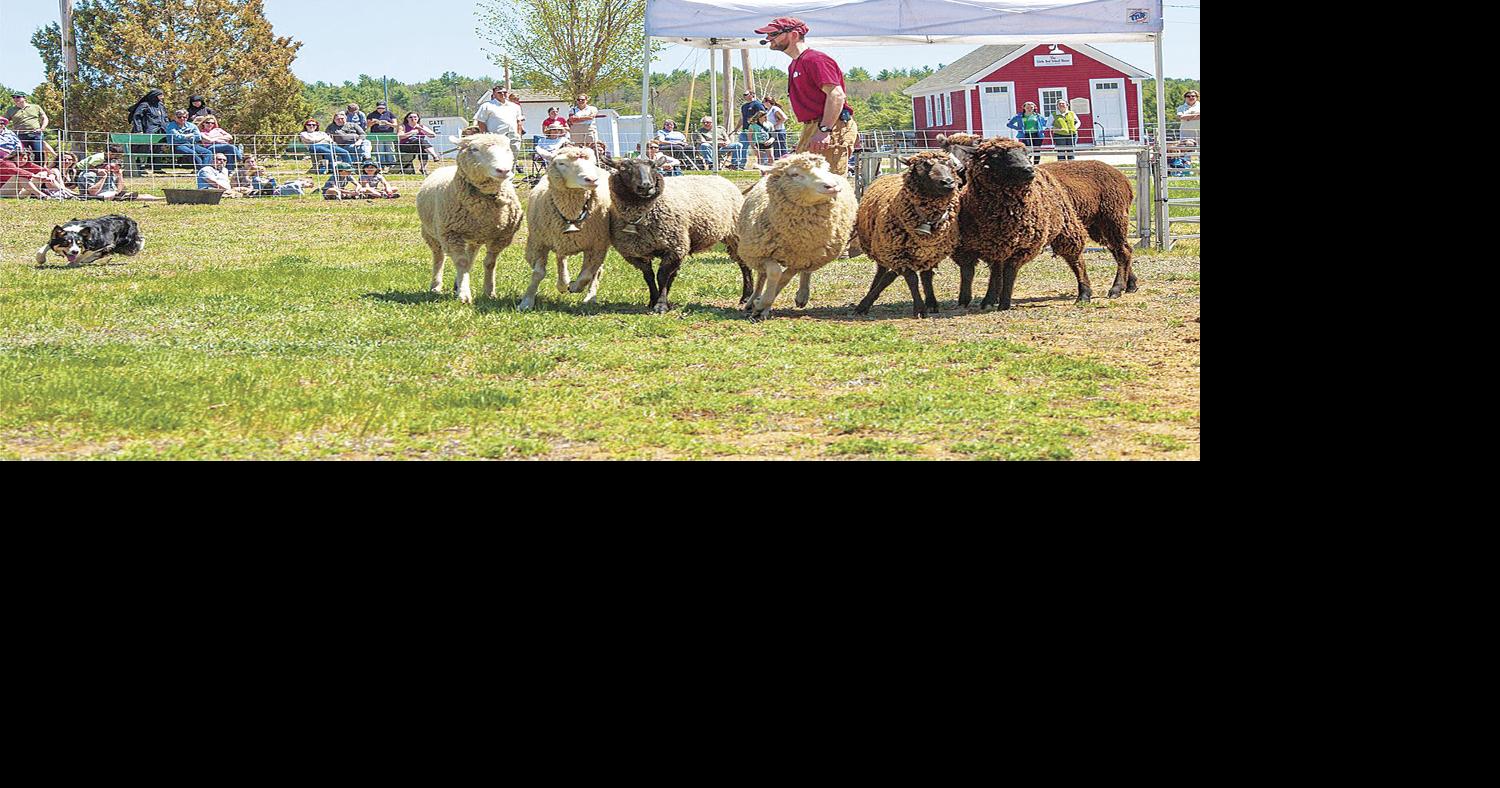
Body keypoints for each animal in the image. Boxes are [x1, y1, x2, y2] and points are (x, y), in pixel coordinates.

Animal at [414, 132, 525, 304]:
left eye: (508, 148)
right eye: (474, 149)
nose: (503, 170)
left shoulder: (501, 237)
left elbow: (489, 263)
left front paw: (489, 292)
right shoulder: (451, 234)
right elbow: (461, 262)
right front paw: (464, 295)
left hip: (474, 237)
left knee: (470, 258)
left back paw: (456, 284)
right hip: (431, 232)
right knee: (439, 257)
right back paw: (436, 286)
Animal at [522, 142, 615, 309]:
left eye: (592, 162)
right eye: (561, 163)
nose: (592, 179)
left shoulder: (598, 246)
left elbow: (586, 275)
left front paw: (575, 286)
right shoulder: (538, 243)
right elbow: (538, 273)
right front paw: (527, 301)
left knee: (595, 271)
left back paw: (590, 297)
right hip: (559, 239)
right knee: (561, 257)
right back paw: (562, 283)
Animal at [858, 150, 960, 316]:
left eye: (951, 165)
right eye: (923, 165)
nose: (948, 182)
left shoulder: (931, 254)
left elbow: (926, 277)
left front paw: (931, 303)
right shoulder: (898, 254)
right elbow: (912, 279)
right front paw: (919, 308)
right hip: (880, 247)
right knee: (881, 271)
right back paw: (870, 294)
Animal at [948, 136, 1092, 309]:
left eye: (1026, 153)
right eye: (995, 155)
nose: (1029, 170)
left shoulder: (1021, 248)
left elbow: (1009, 273)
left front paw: (1004, 303)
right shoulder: (967, 246)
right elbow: (970, 272)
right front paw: (967, 301)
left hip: (1067, 228)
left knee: (1076, 260)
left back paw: (1084, 293)